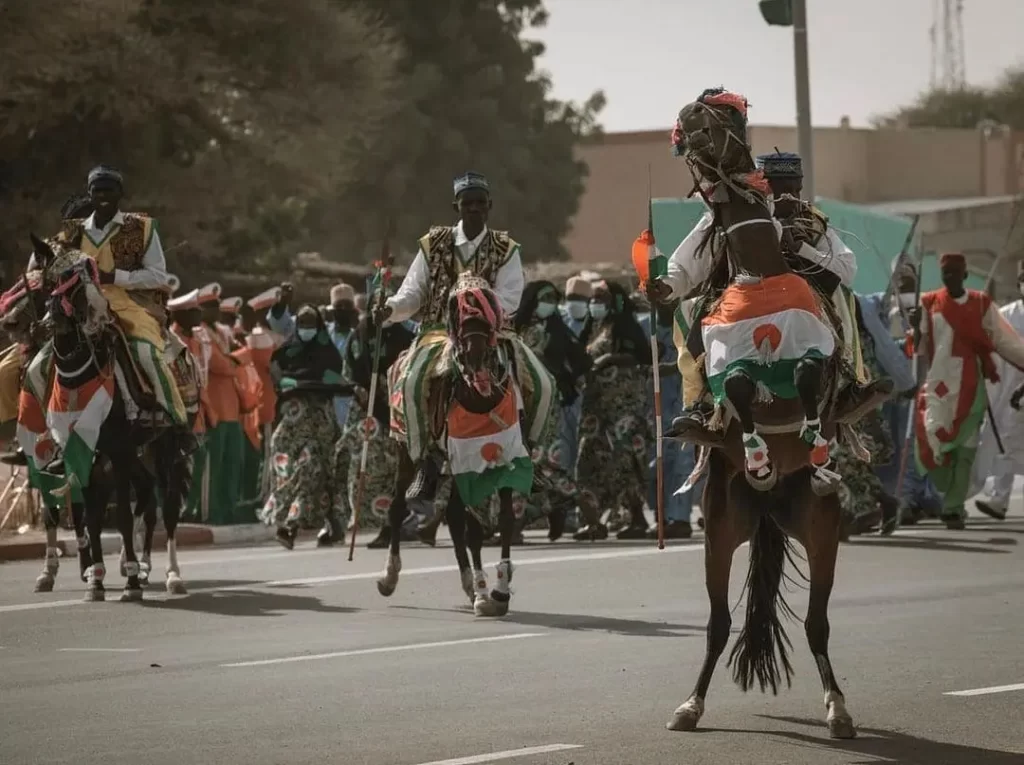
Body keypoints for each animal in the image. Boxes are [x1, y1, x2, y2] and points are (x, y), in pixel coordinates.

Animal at [655, 89, 888, 741]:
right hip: (722, 529)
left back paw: (838, 708)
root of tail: (766, 509)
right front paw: (757, 448)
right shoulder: (726, 362)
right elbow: (734, 383)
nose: (693, 115)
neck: (761, 269)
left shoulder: (813, 354)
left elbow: (809, 376)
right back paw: (689, 706)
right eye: (697, 117)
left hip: (819, 528)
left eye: (731, 116)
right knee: (715, 623)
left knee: (816, 623)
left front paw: (810, 436)